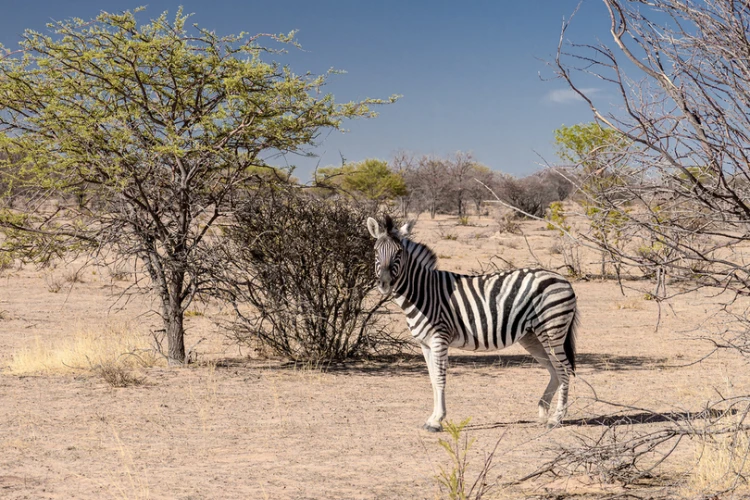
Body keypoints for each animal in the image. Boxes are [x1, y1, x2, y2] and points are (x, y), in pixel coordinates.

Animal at [368, 215, 580, 430]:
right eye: (376, 251)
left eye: (399, 252)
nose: (384, 284)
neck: (423, 293)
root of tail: (562, 278)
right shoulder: (425, 344)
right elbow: (433, 380)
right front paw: (432, 418)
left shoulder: (439, 339)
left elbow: (440, 379)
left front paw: (437, 420)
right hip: (532, 336)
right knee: (554, 370)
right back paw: (544, 412)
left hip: (552, 330)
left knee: (564, 369)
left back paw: (556, 418)